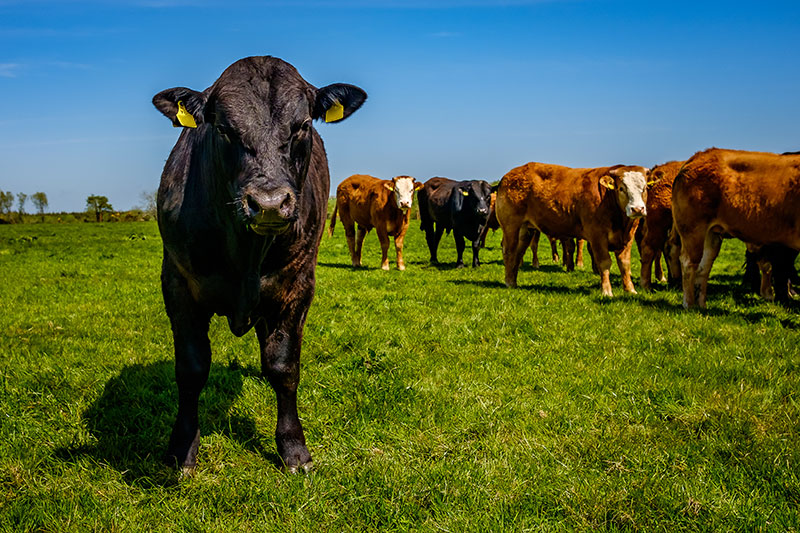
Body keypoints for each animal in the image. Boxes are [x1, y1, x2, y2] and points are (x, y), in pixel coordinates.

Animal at [152, 56, 366, 472]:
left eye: (302, 126)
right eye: (222, 127)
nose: (268, 203)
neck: (246, 253)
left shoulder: (297, 286)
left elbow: (283, 366)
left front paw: (293, 447)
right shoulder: (178, 283)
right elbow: (191, 368)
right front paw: (182, 447)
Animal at [496, 162, 652, 296]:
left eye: (644, 189)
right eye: (621, 188)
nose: (637, 209)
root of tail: (509, 175)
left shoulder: (628, 237)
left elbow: (625, 265)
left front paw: (630, 289)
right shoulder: (597, 236)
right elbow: (604, 262)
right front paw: (607, 291)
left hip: (526, 229)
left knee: (518, 252)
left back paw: (513, 281)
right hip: (511, 226)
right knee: (509, 251)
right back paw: (509, 281)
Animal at [672, 148, 800, 310]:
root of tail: (698, 156)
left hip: (711, 235)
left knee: (703, 267)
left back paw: (701, 305)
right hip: (692, 229)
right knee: (688, 263)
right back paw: (689, 304)